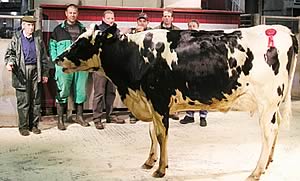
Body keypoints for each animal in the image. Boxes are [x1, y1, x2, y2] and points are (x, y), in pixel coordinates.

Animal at [55, 24, 298, 181]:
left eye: (81, 43)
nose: (57, 59)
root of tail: (282, 29)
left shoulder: (159, 99)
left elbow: (161, 134)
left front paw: (161, 169)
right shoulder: (151, 102)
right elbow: (152, 133)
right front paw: (150, 161)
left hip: (267, 103)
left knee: (268, 133)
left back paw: (256, 171)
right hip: (273, 106)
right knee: (275, 129)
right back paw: (268, 162)